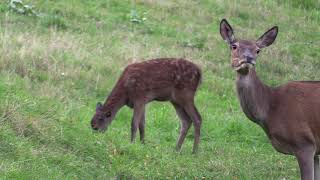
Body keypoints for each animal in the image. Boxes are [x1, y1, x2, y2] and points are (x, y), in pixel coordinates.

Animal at [220, 18, 320, 180]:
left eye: (257, 50)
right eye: (234, 46)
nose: (248, 58)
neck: (270, 110)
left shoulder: (305, 142)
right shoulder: (315, 150)